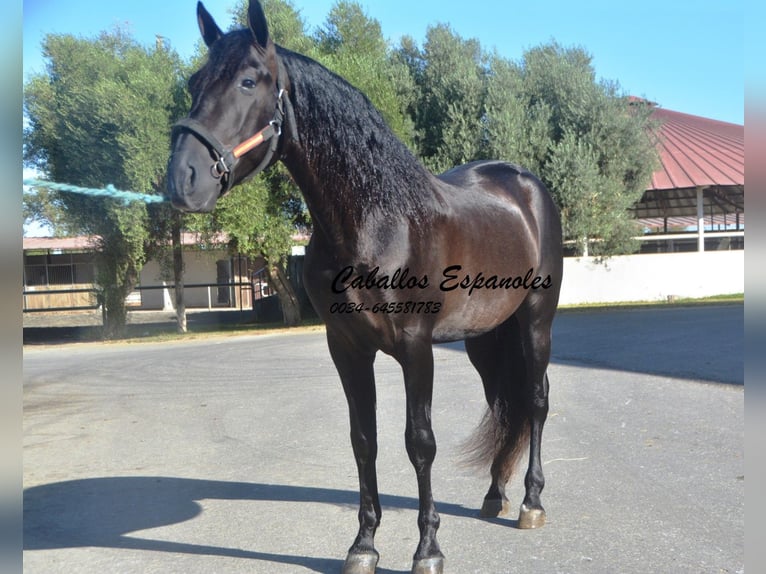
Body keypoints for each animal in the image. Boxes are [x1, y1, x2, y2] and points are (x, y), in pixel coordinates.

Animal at [168, 2, 564, 572]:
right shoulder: (348, 348)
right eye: (195, 82)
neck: (376, 222)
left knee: (534, 402)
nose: (183, 179)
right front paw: (363, 545)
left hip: (535, 321)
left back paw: (531, 502)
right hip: (486, 338)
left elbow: (419, 442)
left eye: (248, 80)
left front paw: (427, 549)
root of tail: (525, 185)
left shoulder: (416, 348)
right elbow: (363, 441)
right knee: (502, 403)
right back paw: (495, 495)